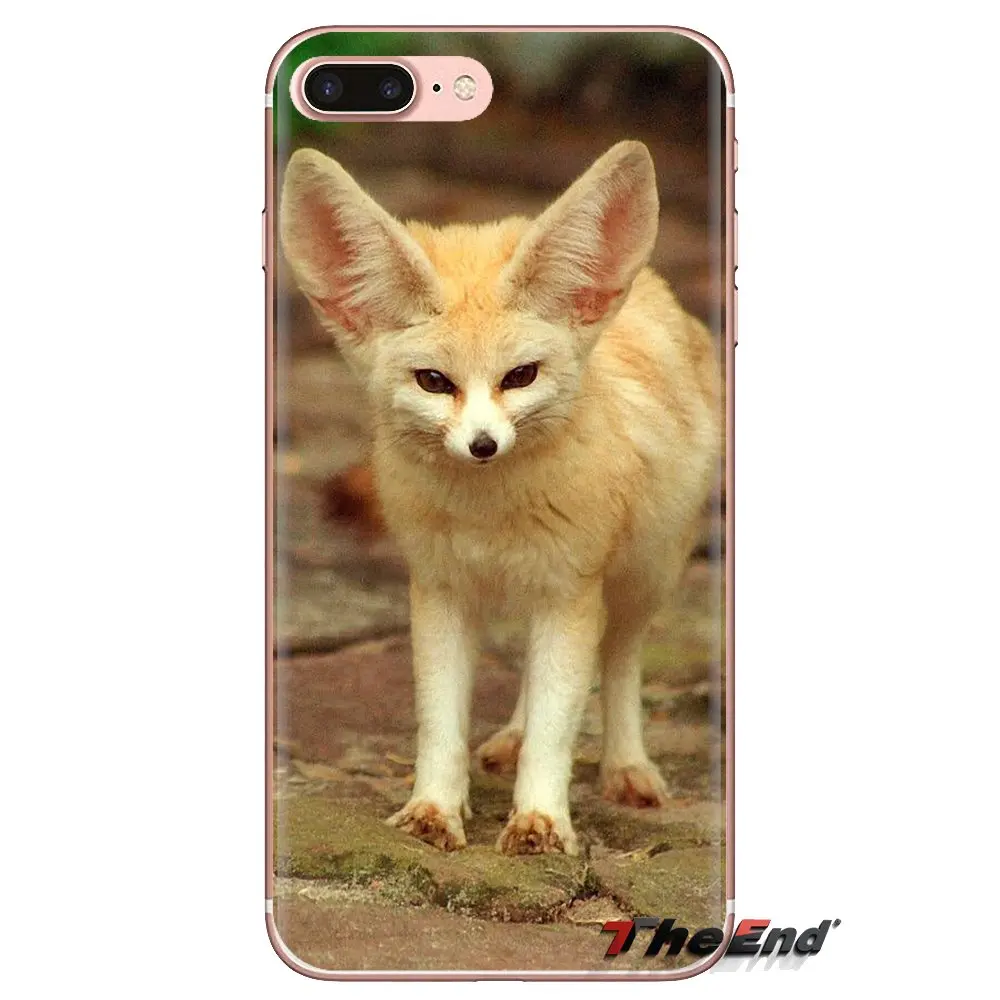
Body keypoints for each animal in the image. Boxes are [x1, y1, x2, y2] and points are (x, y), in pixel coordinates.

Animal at [280, 141, 722, 856]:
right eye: (434, 382)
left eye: (521, 377)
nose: (483, 445)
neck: (488, 515)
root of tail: (651, 285)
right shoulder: (442, 590)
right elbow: (442, 721)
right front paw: (434, 808)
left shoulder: (571, 591)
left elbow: (558, 723)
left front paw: (540, 820)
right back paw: (511, 738)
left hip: (644, 577)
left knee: (619, 662)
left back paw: (626, 766)